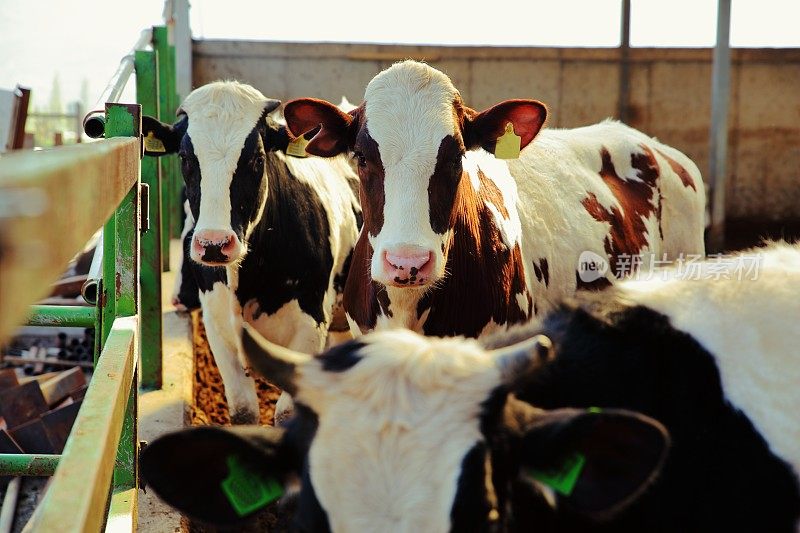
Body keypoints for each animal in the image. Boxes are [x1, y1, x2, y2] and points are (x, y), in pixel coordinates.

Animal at [142, 82, 360, 424]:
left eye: (257, 159)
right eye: (186, 158)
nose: (214, 244)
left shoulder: (310, 322)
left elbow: (286, 414)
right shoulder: (217, 322)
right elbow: (243, 410)